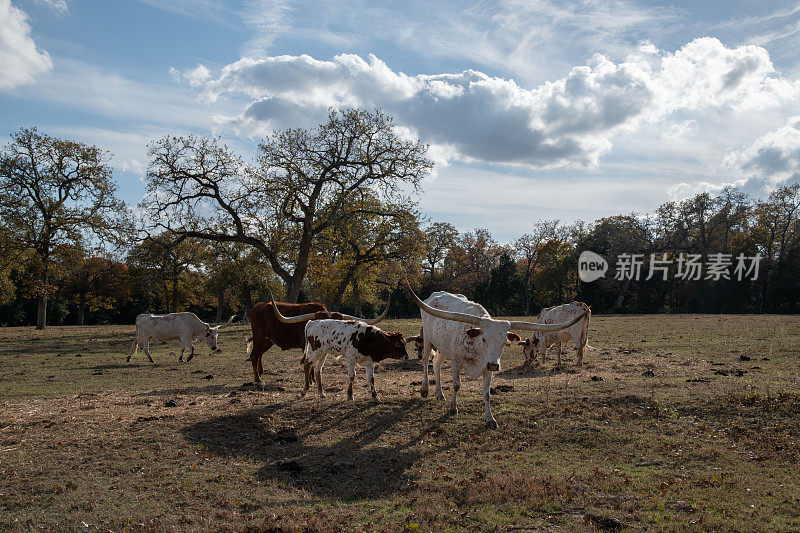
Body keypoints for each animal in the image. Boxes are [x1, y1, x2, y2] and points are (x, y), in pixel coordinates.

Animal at [247, 294, 390, 384]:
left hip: (268, 340)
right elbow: (311, 363)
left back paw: (260, 374)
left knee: (259, 354)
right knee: (254, 355)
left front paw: (313, 379)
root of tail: (258, 306)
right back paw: (258, 379)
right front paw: (312, 380)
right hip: (259, 335)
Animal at [268, 300, 410, 400]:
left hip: (323, 353)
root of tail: (313, 322)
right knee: (307, 364)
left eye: (404, 343)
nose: (407, 357)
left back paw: (321, 393)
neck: (368, 338)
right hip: (315, 351)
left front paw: (375, 397)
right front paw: (350, 395)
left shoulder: (370, 362)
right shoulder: (350, 358)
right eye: (397, 344)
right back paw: (304, 391)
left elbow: (371, 379)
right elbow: (352, 376)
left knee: (318, 369)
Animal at [406, 278, 588, 428]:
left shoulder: (488, 368)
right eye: (484, 339)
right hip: (428, 340)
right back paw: (425, 389)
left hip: (443, 347)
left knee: (436, 364)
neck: (476, 346)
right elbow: (457, 385)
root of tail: (435, 295)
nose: (494, 364)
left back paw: (439, 393)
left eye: (503, 343)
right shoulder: (456, 361)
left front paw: (490, 419)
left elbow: (486, 394)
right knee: (425, 362)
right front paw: (453, 408)